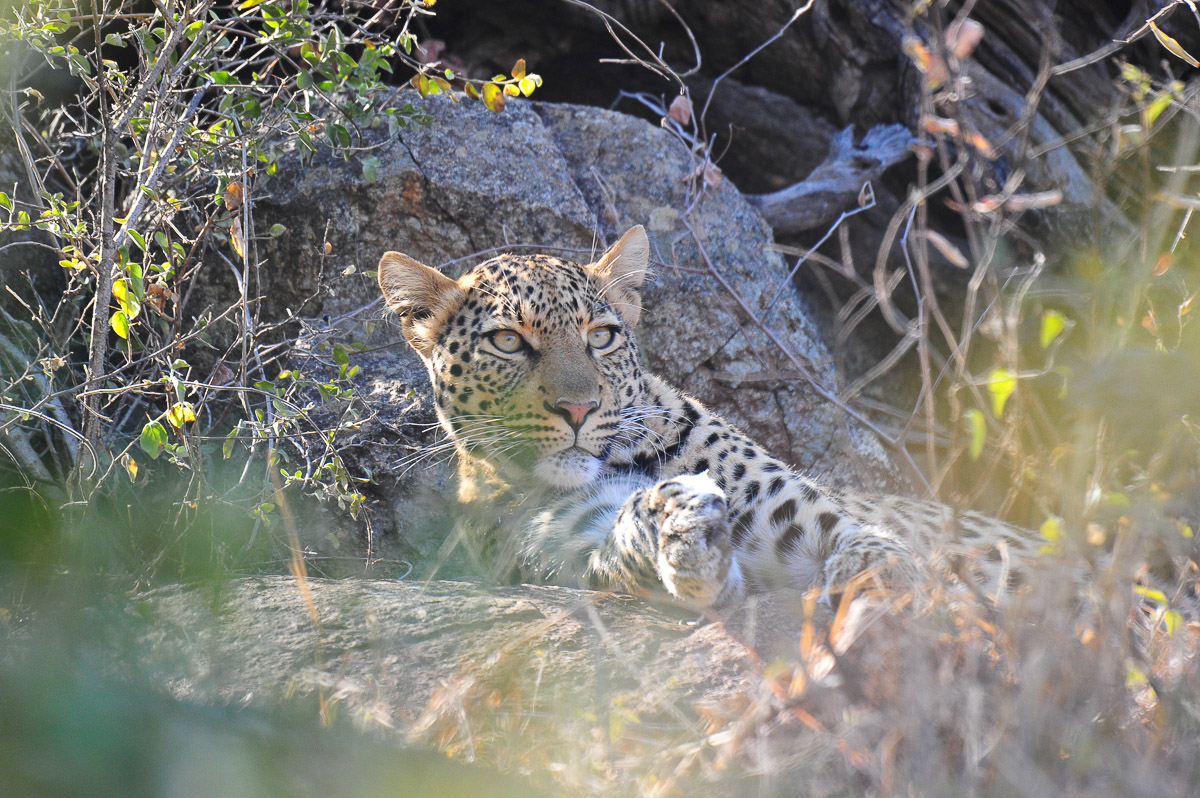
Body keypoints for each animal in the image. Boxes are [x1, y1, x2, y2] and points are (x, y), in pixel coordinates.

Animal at [377, 226, 1037, 607]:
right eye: (508, 343)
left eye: (601, 336)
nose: (578, 408)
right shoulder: (576, 549)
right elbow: (631, 546)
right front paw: (681, 532)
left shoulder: (800, 515)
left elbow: (864, 541)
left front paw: (885, 583)